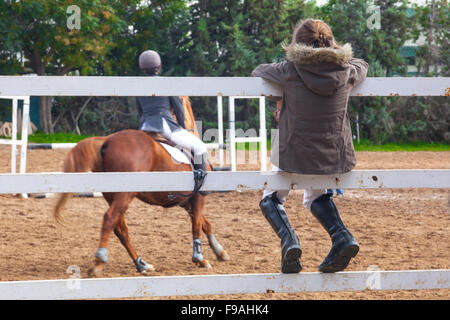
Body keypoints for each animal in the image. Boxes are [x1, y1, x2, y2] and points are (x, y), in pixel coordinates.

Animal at [55, 95, 230, 278]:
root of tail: (106, 141)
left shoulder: (186, 201)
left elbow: (204, 223)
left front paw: (220, 252)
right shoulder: (198, 197)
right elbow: (197, 224)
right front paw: (200, 259)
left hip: (113, 195)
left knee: (120, 228)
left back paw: (141, 264)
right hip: (125, 194)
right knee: (110, 218)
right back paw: (99, 263)